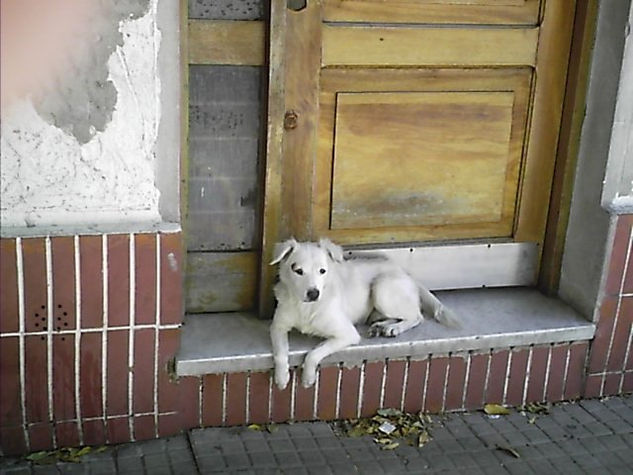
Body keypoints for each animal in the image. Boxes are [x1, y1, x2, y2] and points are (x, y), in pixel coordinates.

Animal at [270, 238, 456, 390]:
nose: (314, 293)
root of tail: (406, 272)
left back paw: (395, 328)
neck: (306, 307)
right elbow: (280, 352)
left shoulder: (347, 334)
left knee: (417, 316)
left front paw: (308, 377)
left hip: (382, 288)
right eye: (298, 270)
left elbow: (314, 353)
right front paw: (281, 377)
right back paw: (381, 327)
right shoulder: (277, 326)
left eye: (322, 271)